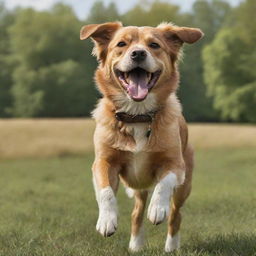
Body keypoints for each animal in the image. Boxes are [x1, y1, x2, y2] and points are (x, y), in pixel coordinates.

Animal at [79, 21, 203, 252]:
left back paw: (171, 246)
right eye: (121, 44)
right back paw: (135, 245)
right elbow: (106, 192)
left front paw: (157, 208)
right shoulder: (103, 162)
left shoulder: (175, 164)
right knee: (137, 213)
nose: (138, 53)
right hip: (138, 187)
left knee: (176, 215)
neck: (137, 114)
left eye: (154, 45)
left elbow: (164, 183)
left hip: (184, 187)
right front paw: (107, 220)